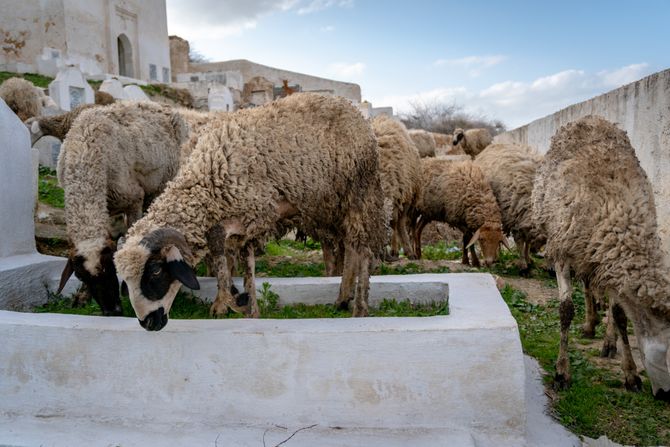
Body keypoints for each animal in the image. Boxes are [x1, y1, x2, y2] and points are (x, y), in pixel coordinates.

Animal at [56, 101, 192, 318]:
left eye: (111, 267)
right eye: (81, 276)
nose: (113, 311)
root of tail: (161, 105)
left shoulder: (133, 199)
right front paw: (83, 297)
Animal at [115, 93, 386, 332]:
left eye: (156, 271)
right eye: (125, 280)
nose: (148, 323)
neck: (207, 180)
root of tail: (354, 110)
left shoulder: (260, 211)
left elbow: (220, 247)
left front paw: (233, 301)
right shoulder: (243, 219)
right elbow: (242, 260)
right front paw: (247, 306)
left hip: (358, 192)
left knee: (362, 249)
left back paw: (359, 308)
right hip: (332, 204)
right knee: (350, 246)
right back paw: (342, 298)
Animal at [370, 114, 422, 262]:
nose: (381, 257)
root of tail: (382, 116)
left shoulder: (403, 197)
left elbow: (397, 224)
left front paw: (408, 251)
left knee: (397, 222)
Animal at [472, 142, 544, 272]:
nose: (535, 251)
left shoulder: (524, 220)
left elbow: (527, 242)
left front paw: (528, 259)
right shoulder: (516, 217)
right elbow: (520, 242)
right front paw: (523, 264)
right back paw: (496, 256)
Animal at [536, 114, 670, 400]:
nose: (667, 395)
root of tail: (591, 117)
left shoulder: (612, 258)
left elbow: (620, 315)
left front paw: (631, 374)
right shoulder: (563, 250)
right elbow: (566, 310)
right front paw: (562, 372)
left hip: (597, 257)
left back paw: (608, 340)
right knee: (588, 286)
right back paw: (590, 325)